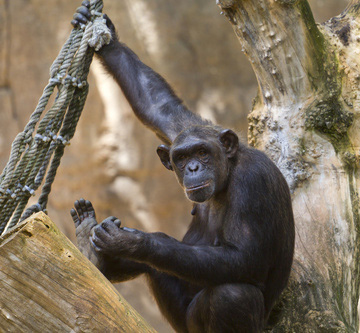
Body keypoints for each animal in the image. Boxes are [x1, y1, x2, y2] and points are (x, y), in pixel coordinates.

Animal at [70, 1, 296, 330]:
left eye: (202, 153)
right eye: (182, 158)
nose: (192, 168)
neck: (228, 172)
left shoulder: (253, 181)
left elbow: (244, 257)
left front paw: (138, 241)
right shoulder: (184, 127)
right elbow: (158, 105)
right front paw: (103, 33)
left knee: (233, 294)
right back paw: (90, 245)